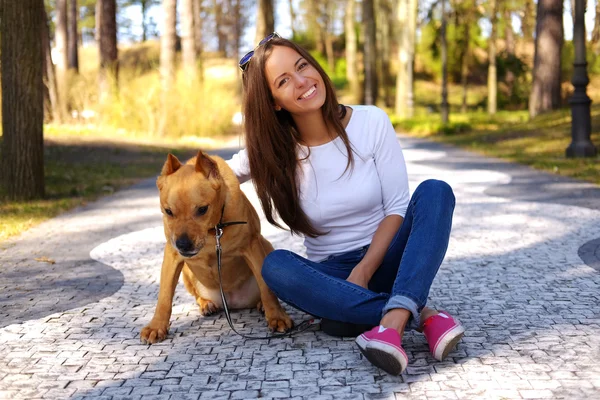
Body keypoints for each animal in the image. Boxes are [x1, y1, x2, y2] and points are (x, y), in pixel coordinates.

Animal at [139, 150, 292, 344]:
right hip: (187, 271)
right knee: (197, 295)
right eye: (168, 211)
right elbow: (164, 297)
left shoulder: (252, 247)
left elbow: (266, 289)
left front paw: (277, 317)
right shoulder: (172, 256)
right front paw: (156, 326)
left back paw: (262, 305)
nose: (183, 244)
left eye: (202, 209)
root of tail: (232, 302)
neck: (213, 232)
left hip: (267, 246)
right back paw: (206, 304)